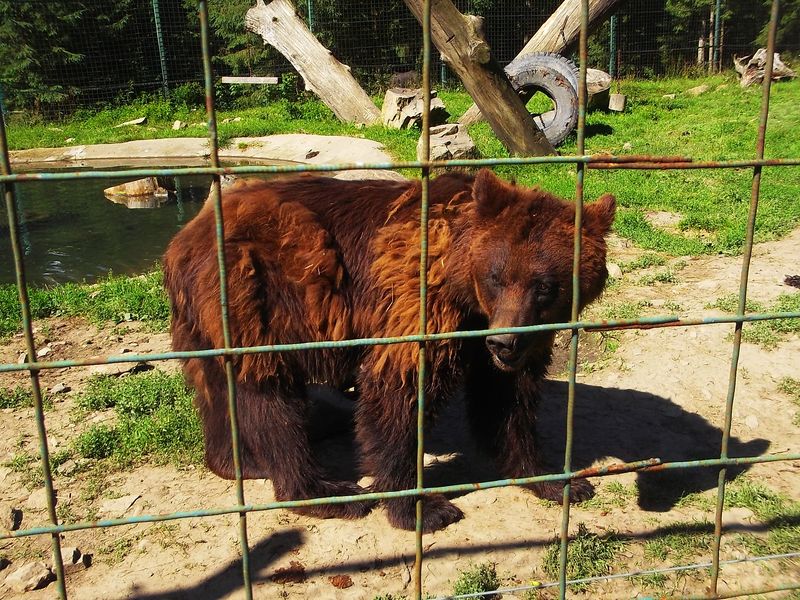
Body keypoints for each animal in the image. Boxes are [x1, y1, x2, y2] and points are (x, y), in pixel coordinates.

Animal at [163, 168, 616, 532]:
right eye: (496, 276)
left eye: (546, 285)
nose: (504, 342)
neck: (462, 288)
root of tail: (182, 240)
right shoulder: (417, 299)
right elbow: (399, 392)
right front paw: (423, 507)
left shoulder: (508, 333)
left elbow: (507, 400)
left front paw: (557, 479)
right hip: (255, 293)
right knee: (269, 395)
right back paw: (322, 490)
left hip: (205, 321)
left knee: (215, 389)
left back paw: (238, 462)